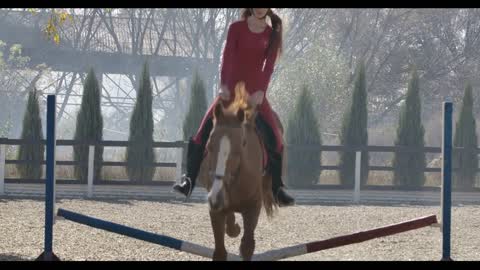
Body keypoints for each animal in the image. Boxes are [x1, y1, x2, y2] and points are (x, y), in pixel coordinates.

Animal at [197, 83, 284, 262]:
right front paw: (233, 227)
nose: (216, 197)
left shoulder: (253, 208)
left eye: (240, 148)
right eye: (209, 146)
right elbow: (220, 250)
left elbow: (247, 246)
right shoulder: (215, 209)